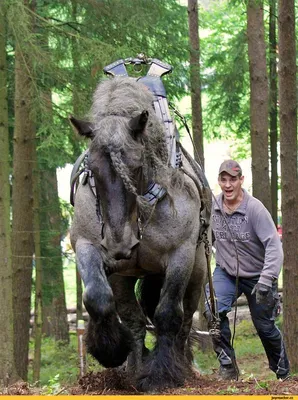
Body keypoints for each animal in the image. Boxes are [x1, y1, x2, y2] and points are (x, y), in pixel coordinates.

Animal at [69, 76, 210, 392]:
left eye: (135, 166)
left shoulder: (181, 254)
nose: (119, 245)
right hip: (124, 275)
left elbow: (168, 313)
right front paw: (110, 349)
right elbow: (97, 297)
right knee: (133, 318)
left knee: (185, 317)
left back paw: (181, 365)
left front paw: (161, 374)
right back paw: (134, 367)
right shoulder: (87, 245)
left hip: (197, 270)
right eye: (92, 169)